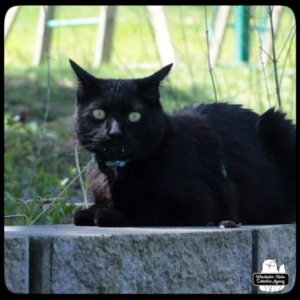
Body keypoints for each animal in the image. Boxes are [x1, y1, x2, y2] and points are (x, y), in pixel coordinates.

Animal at [69, 59, 296, 226]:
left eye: (134, 116)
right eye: (99, 113)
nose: (114, 133)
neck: (118, 171)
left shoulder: (200, 204)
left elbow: (144, 207)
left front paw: (109, 214)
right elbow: (92, 207)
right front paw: (90, 211)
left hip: (278, 124)